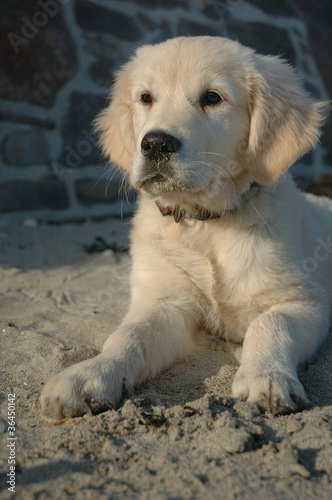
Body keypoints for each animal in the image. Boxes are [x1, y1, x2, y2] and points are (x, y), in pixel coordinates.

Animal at [42, 36, 332, 418]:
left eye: (212, 97)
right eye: (146, 98)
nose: (155, 143)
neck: (204, 224)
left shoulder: (304, 300)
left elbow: (270, 323)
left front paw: (266, 377)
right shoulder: (166, 300)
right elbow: (129, 334)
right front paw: (90, 373)